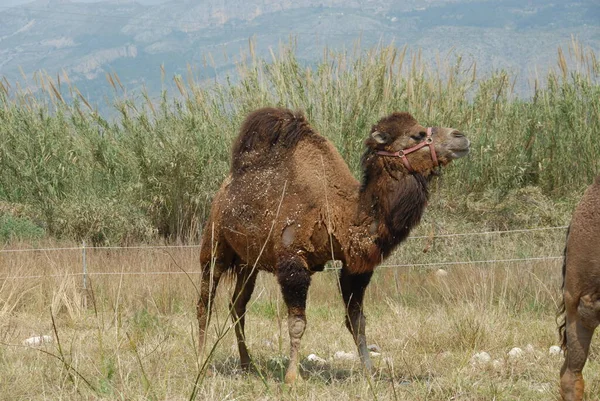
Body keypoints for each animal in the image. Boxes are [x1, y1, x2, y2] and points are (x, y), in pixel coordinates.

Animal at [197, 105, 468, 382]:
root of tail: (224, 189)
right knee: (205, 303)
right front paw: (292, 378)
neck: (339, 212)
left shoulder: (356, 265)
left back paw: (247, 364)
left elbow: (357, 321)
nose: (460, 137)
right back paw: (201, 363)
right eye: (417, 135)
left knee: (237, 306)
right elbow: (297, 324)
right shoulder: (292, 261)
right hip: (214, 246)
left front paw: (369, 372)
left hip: (248, 263)